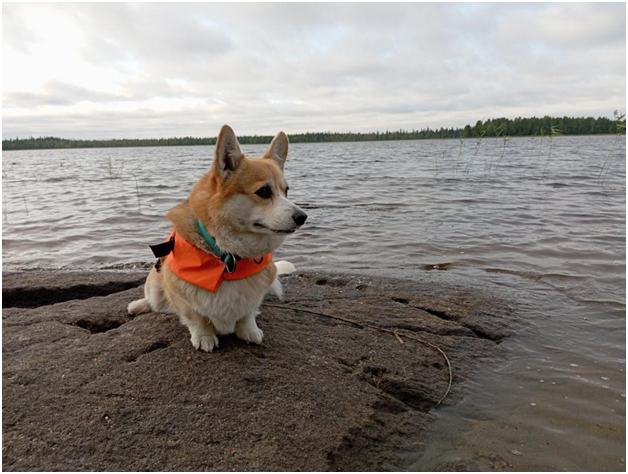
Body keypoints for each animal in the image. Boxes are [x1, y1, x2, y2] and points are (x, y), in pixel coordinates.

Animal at [127, 126, 306, 352]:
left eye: (286, 190)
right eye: (264, 191)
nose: (303, 217)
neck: (228, 257)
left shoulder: (257, 289)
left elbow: (248, 314)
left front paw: (249, 330)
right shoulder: (181, 292)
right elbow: (196, 318)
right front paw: (204, 336)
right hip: (155, 283)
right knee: (153, 300)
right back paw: (139, 305)